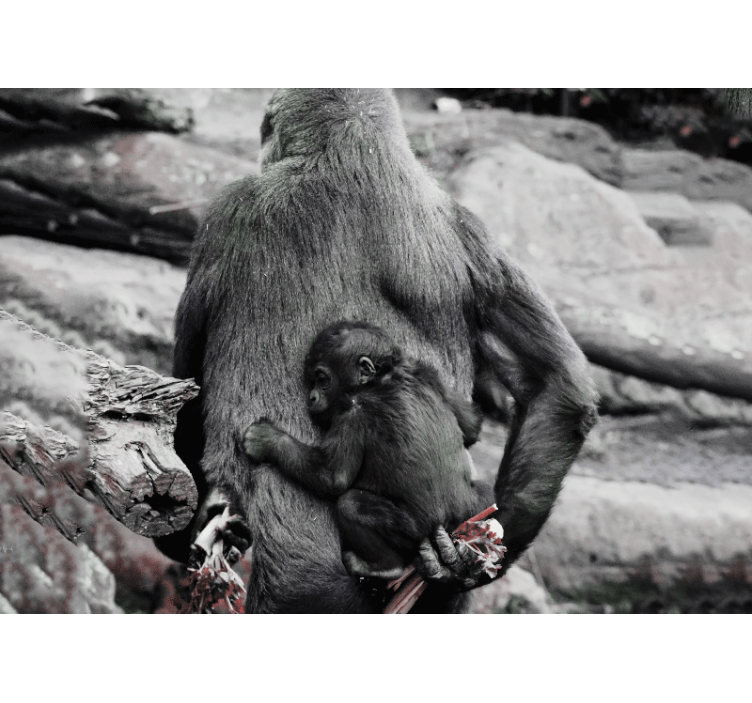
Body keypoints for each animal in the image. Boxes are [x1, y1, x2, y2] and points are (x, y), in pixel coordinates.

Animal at [242, 321, 495, 581]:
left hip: (413, 530)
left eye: (321, 379)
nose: (311, 397)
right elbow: (471, 425)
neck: (381, 377)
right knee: (486, 496)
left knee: (351, 504)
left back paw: (382, 566)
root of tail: (448, 526)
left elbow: (332, 477)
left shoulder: (351, 412)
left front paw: (268, 440)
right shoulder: (426, 371)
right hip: (470, 513)